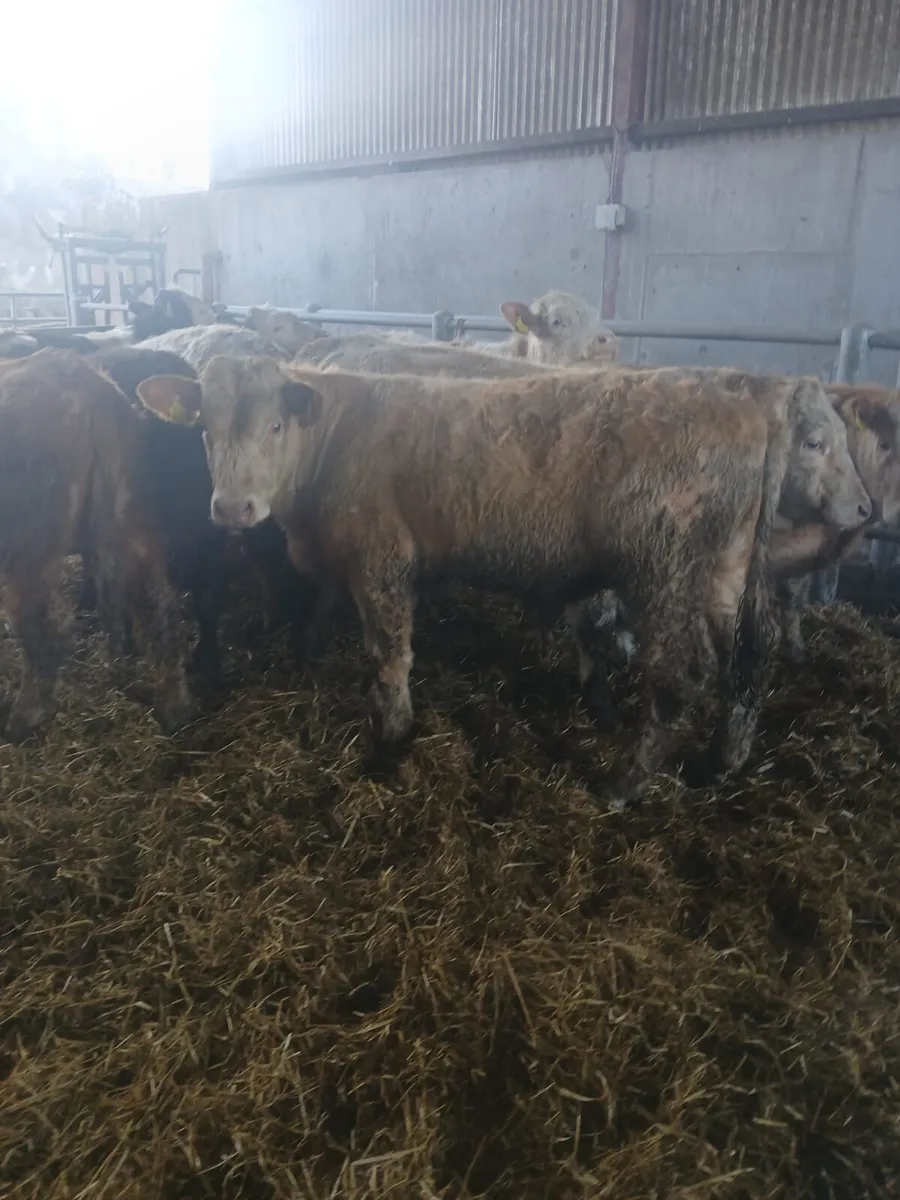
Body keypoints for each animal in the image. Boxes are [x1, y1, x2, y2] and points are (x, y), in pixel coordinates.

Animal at [0, 349, 195, 740]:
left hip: (26, 545)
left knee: (44, 622)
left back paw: (25, 716)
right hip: (130, 513)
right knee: (159, 606)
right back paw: (176, 708)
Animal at [135, 356, 869, 807]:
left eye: (275, 424)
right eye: (204, 430)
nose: (234, 508)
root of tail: (747, 408)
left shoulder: (382, 558)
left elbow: (389, 654)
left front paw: (392, 740)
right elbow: (315, 620)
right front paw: (309, 666)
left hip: (665, 571)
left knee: (680, 676)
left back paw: (623, 783)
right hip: (721, 572)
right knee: (751, 656)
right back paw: (722, 761)